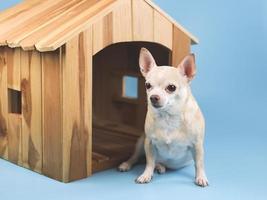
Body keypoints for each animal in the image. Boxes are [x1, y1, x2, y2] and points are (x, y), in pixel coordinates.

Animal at [119, 47, 209, 187]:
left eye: (171, 87)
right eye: (147, 85)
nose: (153, 97)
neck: (168, 116)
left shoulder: (197, 145)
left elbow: (199, 163)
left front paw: (201, 177)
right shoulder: (149, 143)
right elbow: (149, 162)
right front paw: (146, 175)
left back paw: (160, 167)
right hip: (140, 142)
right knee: (136, 158)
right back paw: (128, 164)